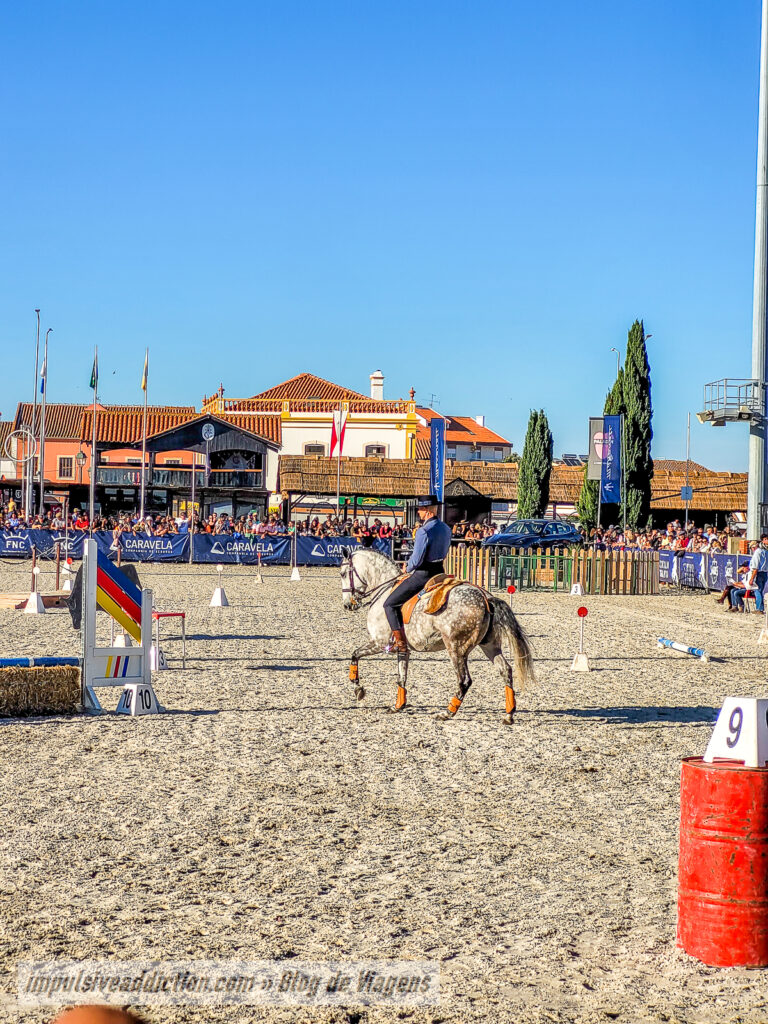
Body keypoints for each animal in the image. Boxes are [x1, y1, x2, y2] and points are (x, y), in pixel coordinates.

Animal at [339, 546, 534, 723]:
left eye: (342, 574)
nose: (348, 605)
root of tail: (486, 598)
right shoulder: (403, 649)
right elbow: (402, 676)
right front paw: (398, 706)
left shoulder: (379, 642)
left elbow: (355, 655)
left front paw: (358, 689)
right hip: (489, 646)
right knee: (505, 670)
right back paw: (509, 714)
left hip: (456, 649)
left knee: (464, 680)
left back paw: (447, 713)